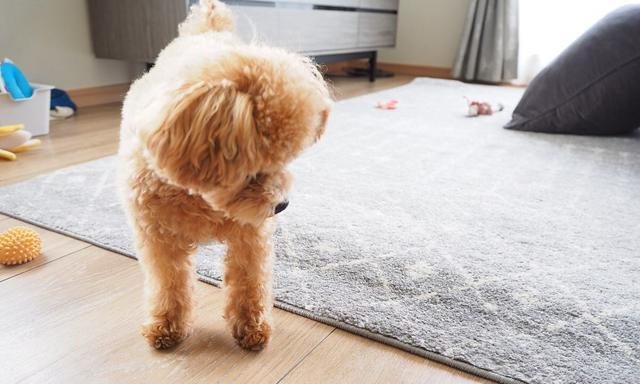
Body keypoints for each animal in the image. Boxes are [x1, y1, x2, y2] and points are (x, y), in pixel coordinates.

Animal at [117, 0, 332, 352]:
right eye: (254, 173)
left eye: (287, 160)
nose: (282, 206)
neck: (200, 197)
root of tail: (207, 29)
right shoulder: (159, 238)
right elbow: (168, 283)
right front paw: (165, 326)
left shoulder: (250, 236)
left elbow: (249, 281)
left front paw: (252, 327)